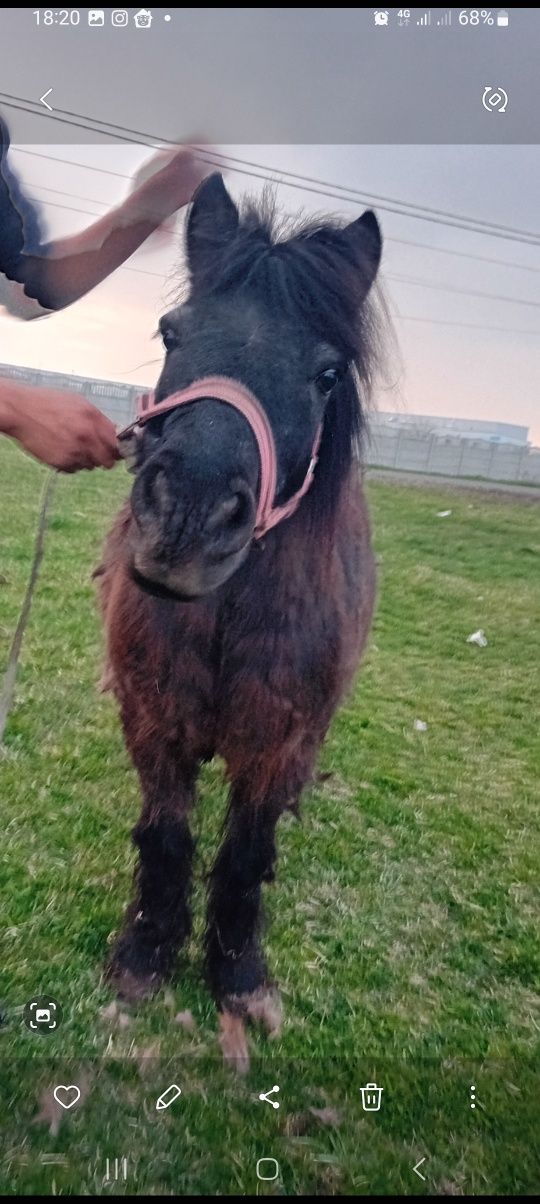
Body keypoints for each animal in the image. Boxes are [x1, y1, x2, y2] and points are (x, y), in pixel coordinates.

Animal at [98, 174, 382, 1069]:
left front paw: (239, 974)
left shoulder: (278, 744)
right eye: (171, 332)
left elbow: (247, 853)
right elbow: (166, 838)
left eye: (326, 373)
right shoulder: (156, 724)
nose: (186, 515)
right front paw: (146, 953)